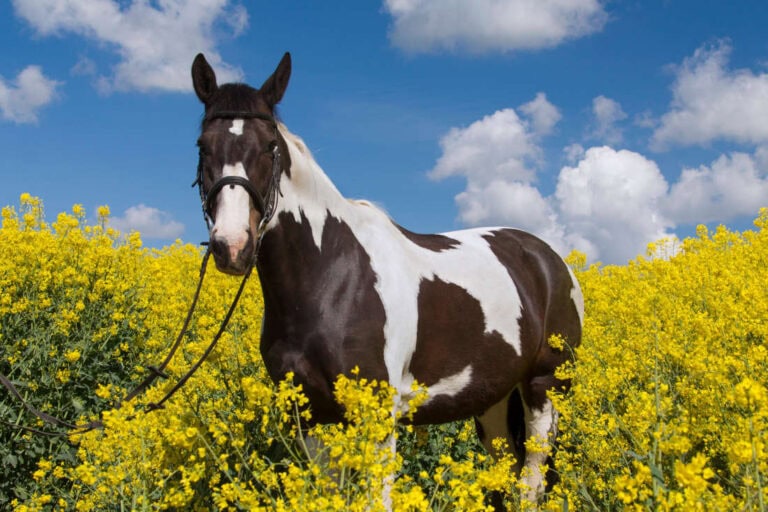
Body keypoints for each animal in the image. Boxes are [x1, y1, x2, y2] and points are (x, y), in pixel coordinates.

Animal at [190, 52, 583, 503]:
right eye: (203, 146)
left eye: (271, 147)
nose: (232, 245)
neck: (329, 278)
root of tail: (550, 260)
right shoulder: (311, 416)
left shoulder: (376, 415)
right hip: (494, 400)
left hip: (545, 386)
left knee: (532, 481)